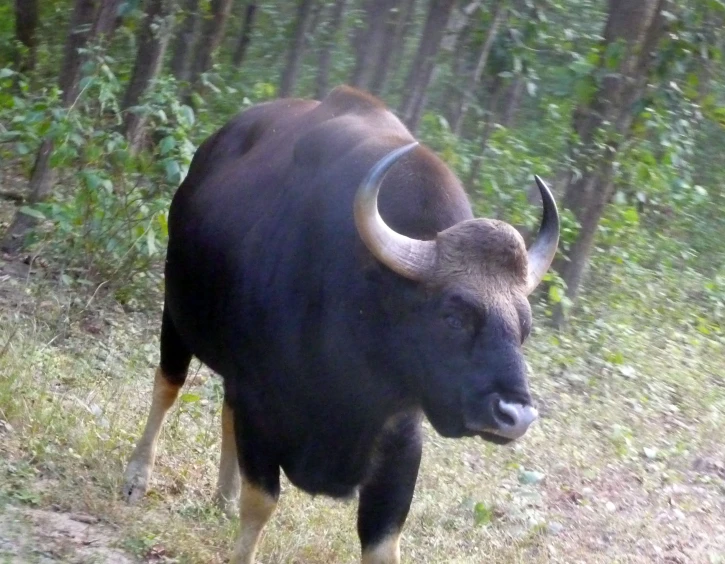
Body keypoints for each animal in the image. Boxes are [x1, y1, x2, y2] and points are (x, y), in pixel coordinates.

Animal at [123, 86, 560, 560]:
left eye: (524, 328)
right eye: (453, 316)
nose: (515, 415)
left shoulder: (401, 440)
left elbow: (384, 541)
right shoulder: (260, 404)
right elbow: (260, 504)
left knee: (224, 410)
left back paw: (223, 495)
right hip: (175, 315)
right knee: (167, 387)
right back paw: (137, 477)